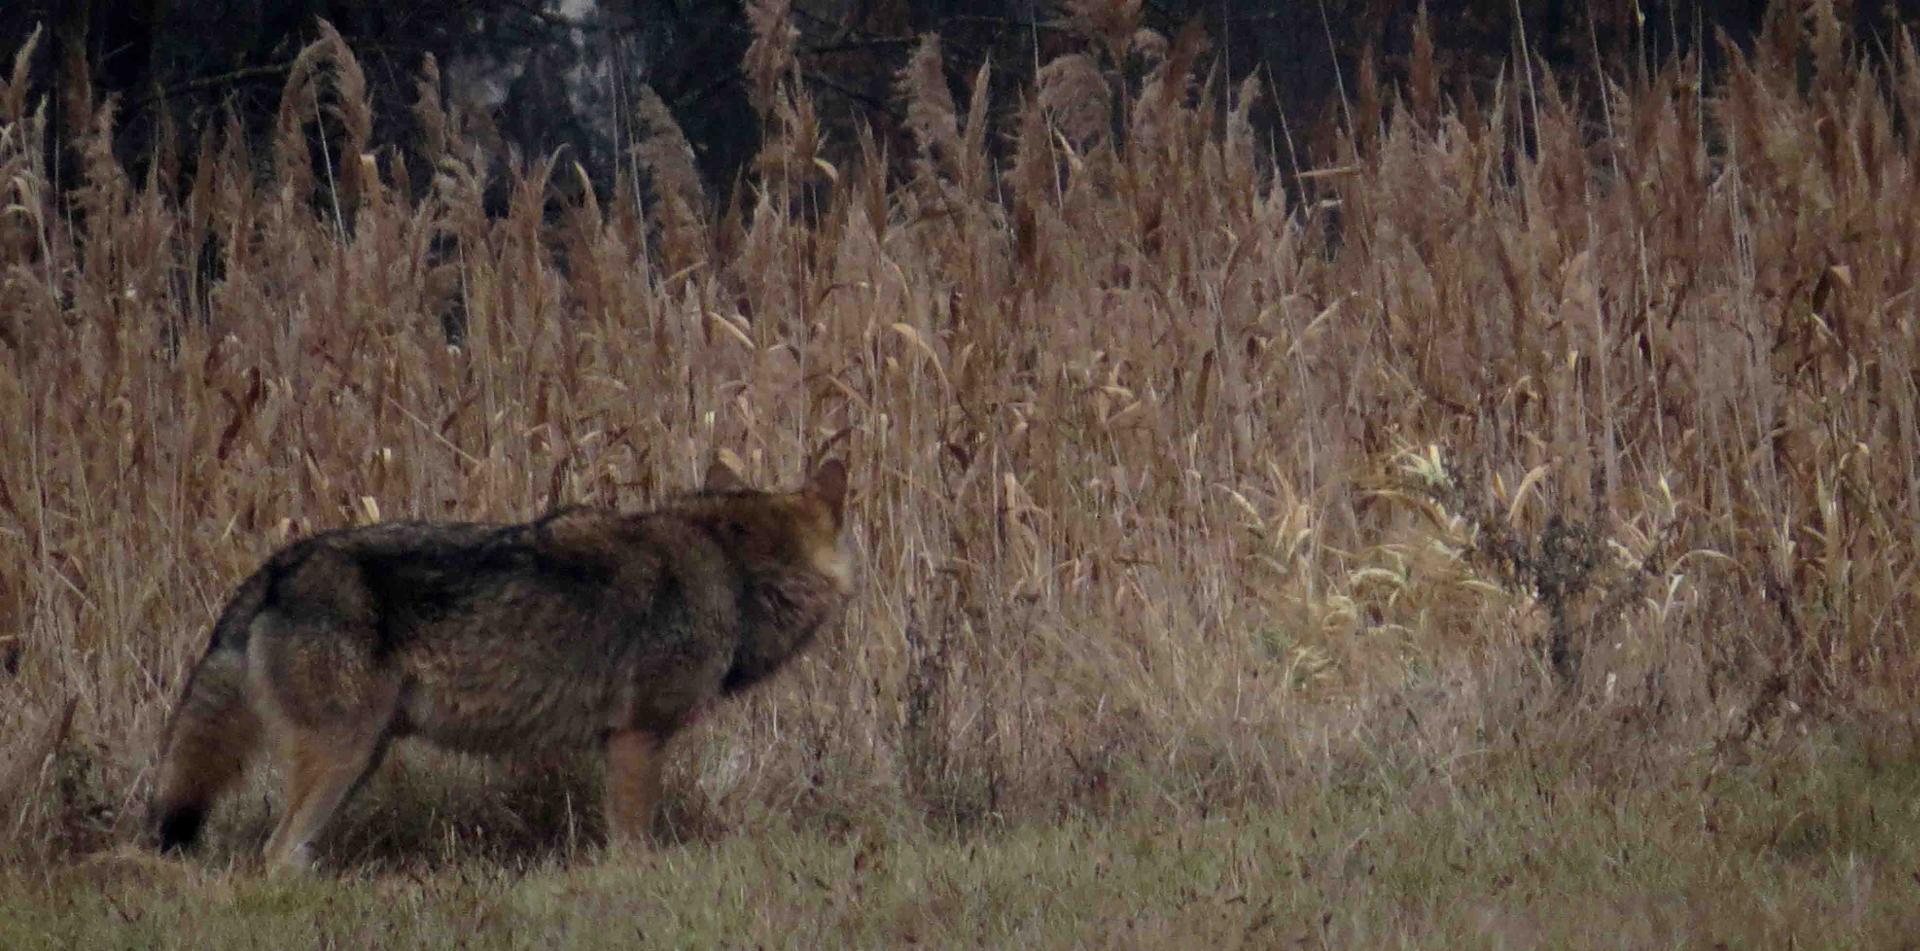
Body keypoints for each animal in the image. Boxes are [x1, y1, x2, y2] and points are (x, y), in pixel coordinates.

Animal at [142, 457, 848, 868]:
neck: (733, 572)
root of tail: (277, 569)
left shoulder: (616, 742)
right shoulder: (637, 737)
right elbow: (633, 847)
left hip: (361, 757)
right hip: (342, 758)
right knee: (275, 854)